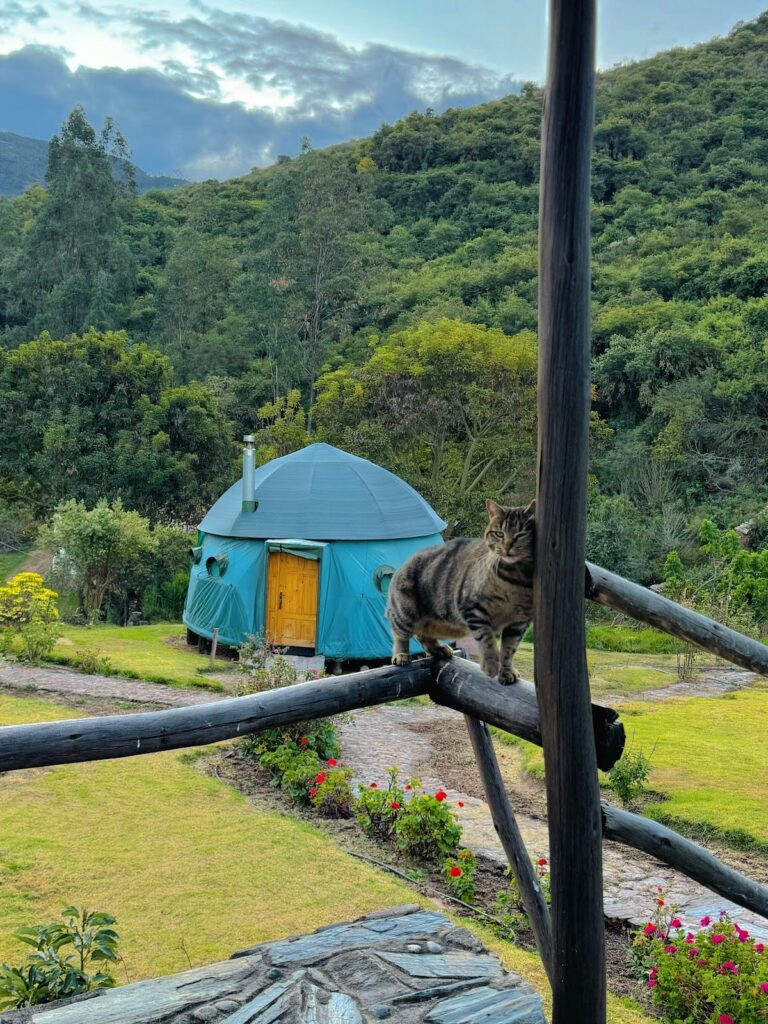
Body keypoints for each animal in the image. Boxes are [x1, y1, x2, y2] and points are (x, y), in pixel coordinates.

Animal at [387, 499, 532, 684]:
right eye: (499, 534)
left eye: (521, 535)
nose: (507, 547)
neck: (515, 578)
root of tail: (402, 565)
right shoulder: (473, 609)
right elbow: (487, 641)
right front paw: (491, 665)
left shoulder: (519, 622)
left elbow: (509, 649)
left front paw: (506, 670)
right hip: (406, 611)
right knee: (400, 635)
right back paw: (401, 655)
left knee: (423, 636)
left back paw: (438, 649)